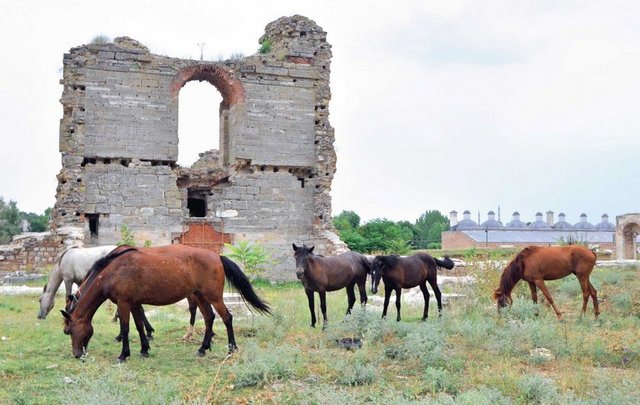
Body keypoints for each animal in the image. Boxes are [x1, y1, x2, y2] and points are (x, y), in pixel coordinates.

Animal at [60, 243, 270, 360]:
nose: (77, 355)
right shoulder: (134, 303)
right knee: (209, 318)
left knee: (226, 318)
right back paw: (203, 348)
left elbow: (126, 328)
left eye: (68, 331)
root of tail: (217, 256)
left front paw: (123, 355)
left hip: (214, 297)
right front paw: (144, 350)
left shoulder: (124, 303)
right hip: (200, 296)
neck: (113, 272)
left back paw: (231, 349)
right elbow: (139, 326)